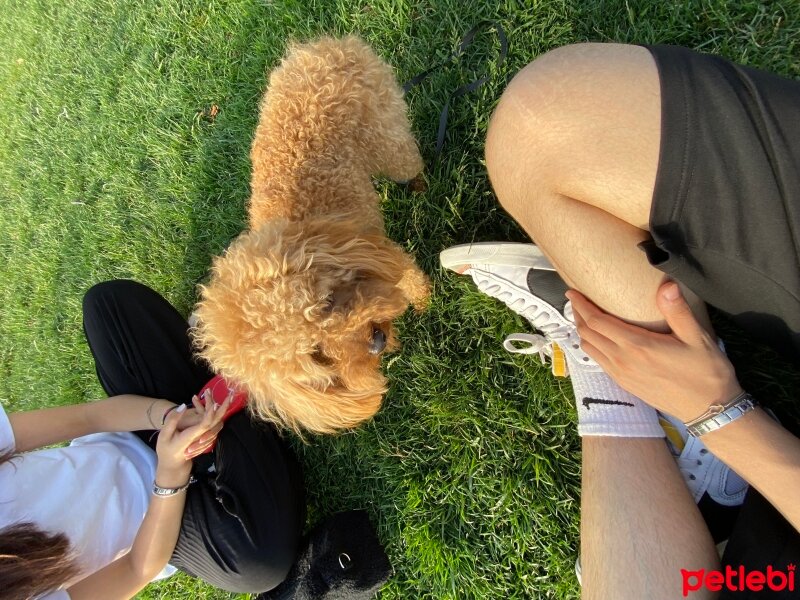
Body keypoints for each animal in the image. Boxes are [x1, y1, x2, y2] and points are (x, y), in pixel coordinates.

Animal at [194, 36, 432, 436]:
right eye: (317, 356)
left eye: (326, 304)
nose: (375, 342)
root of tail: (313, 50)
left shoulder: (380, 250)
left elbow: (411, 279)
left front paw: (425, 302)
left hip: (389, 137)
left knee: (409, 161)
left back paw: (419, 184)